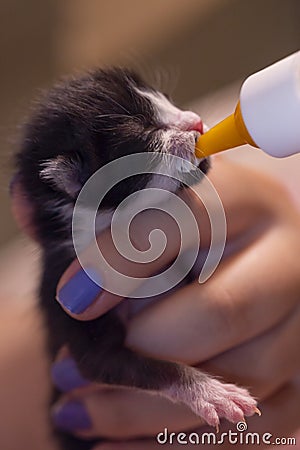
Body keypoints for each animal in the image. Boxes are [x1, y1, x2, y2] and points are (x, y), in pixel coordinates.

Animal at [13, 68, 258, 448]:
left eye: (166, 99)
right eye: (143, 133)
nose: (197, 121)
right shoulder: (67, 303)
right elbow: (129, 365)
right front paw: (211, 393)